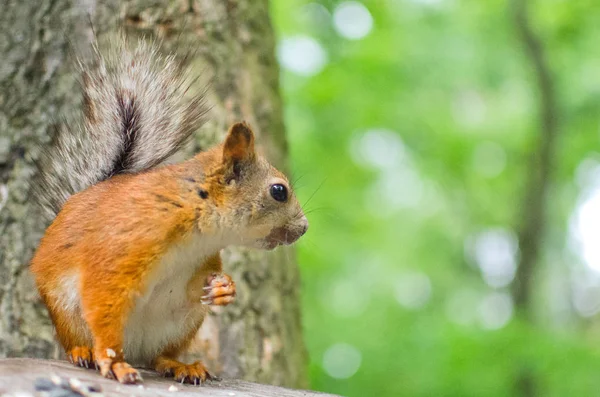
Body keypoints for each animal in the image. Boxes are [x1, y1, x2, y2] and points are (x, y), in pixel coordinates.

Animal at [27, 35, 308, 382]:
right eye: (279, 191)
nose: (304, 227)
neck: (196, 221)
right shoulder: (121, 248)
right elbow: (104, 297)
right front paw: (113, 362)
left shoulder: (199, 262)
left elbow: (193, 288)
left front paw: (224, 288)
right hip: (66, 310)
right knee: (81, 339)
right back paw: (87, 352)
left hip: (180, 325)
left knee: (158, 356)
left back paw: (180, 364)